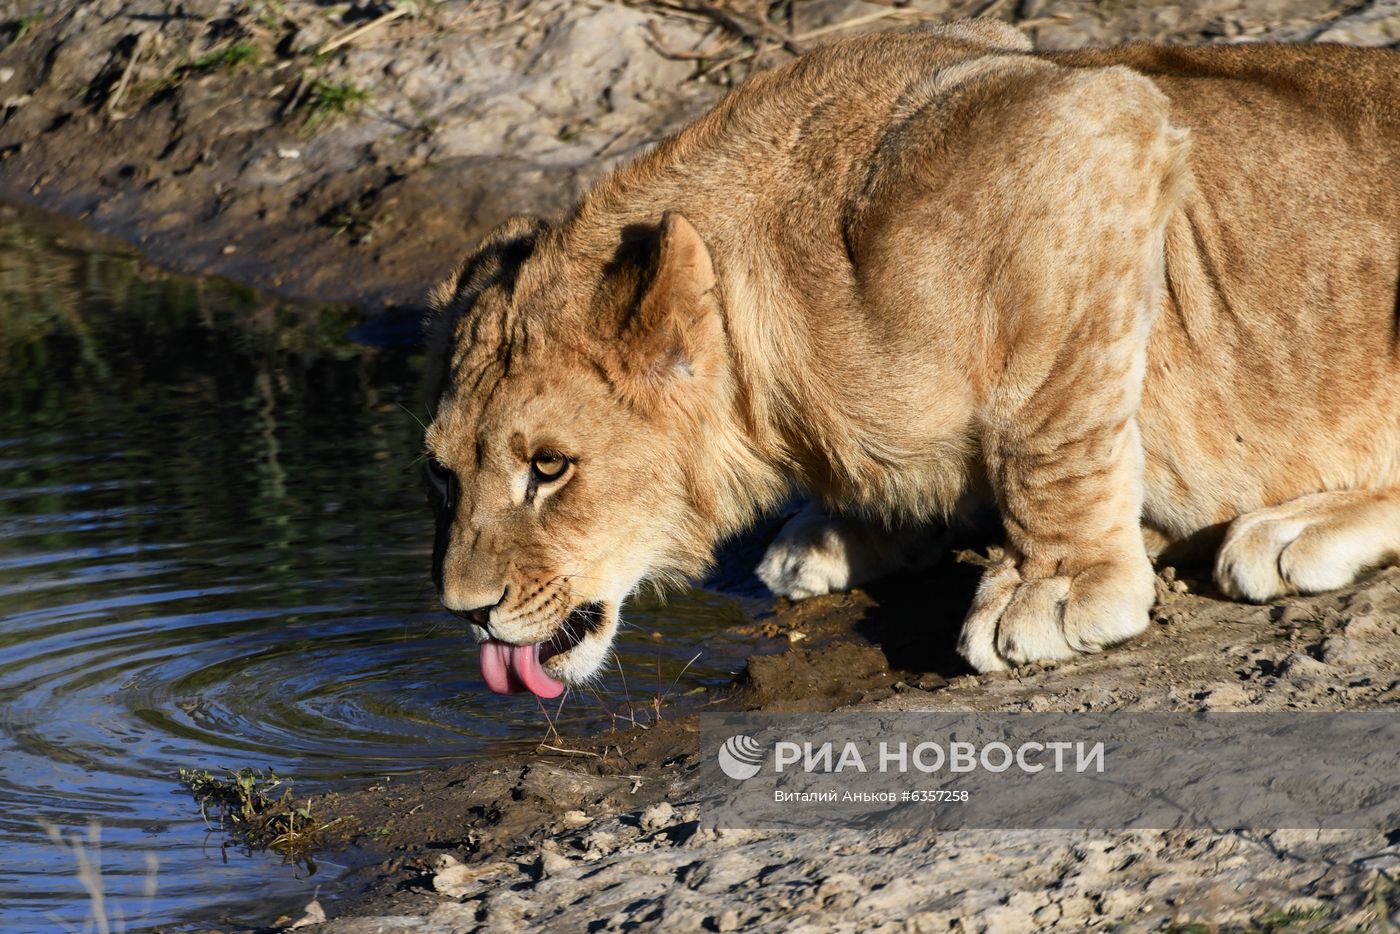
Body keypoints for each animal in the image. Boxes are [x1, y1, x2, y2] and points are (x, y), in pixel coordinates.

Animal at [421, 21, 1400, 696]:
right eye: (440, 475)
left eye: (551, 467)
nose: (465, 616)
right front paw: (844, 530)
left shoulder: (1098, 125)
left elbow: (1050, 424)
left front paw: (1055, 587)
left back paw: (1288, 531)